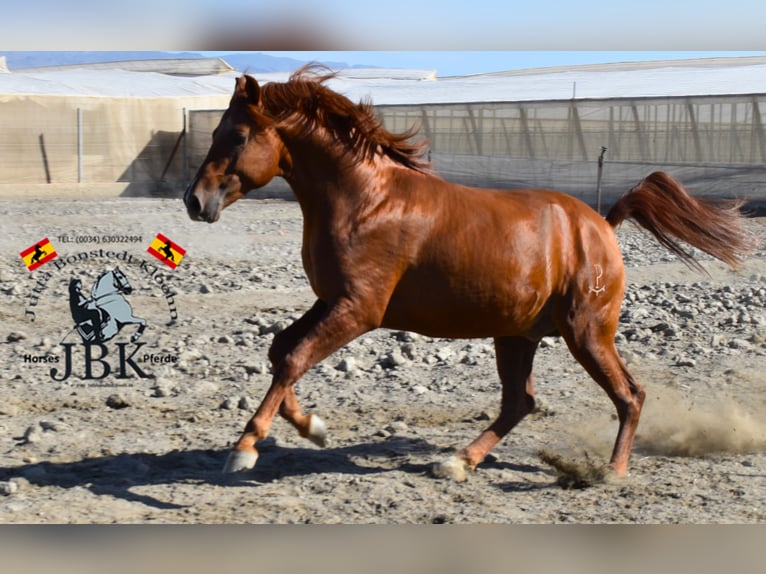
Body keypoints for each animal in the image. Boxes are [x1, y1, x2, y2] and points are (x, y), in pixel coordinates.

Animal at [186, 66, 756, 482]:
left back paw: (611, 472)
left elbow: (294, 358)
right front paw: (314, 428)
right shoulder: (330, 301)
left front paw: (244, 448)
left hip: (586, 332)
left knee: (629, 395)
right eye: (215, 132)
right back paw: (458, 461)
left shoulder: (358, 310)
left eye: (238, 136)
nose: (195, 201)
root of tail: (601, 224)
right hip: (516, 335)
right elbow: (280, 350)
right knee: (521, 401)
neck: (366, 200)